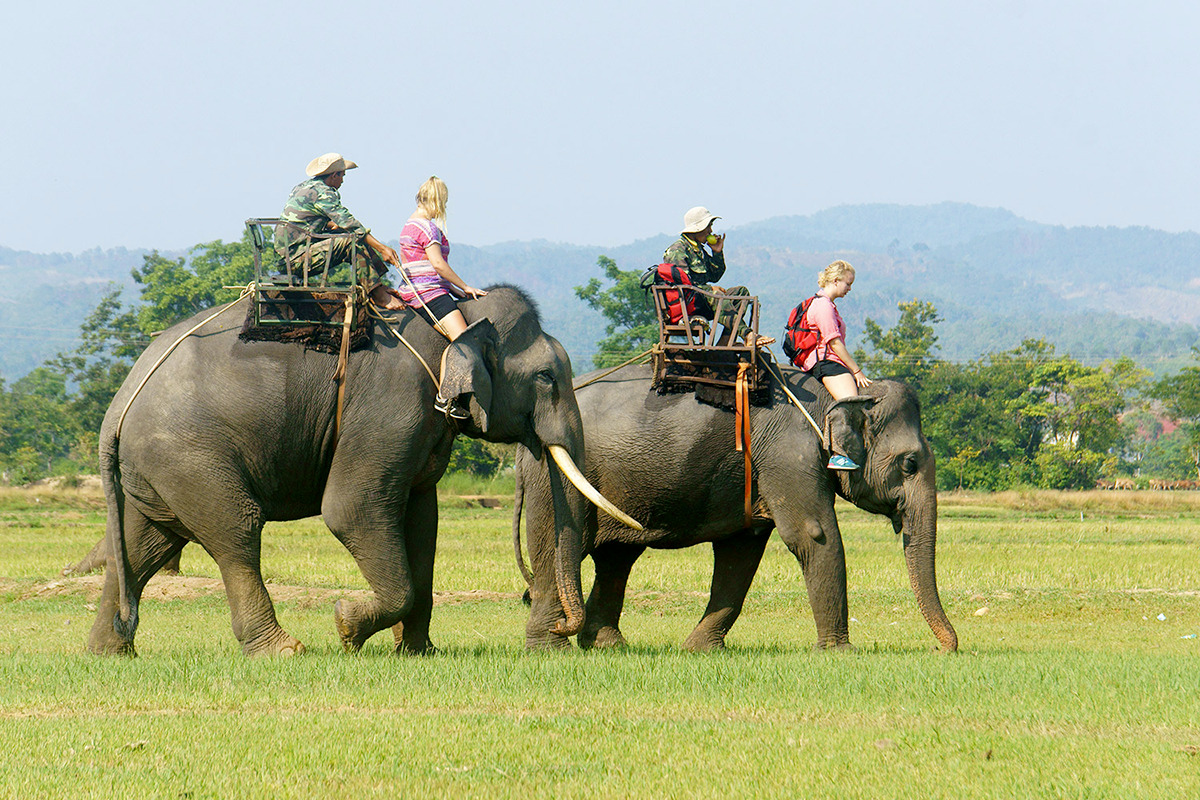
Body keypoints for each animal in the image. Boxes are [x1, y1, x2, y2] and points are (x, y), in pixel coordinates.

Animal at [87, 286, 638, 657]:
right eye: (546, 377)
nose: (561, 631)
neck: (452, 323)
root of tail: (119, 403)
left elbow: (422, 521)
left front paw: (418, 652)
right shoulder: (391, 405)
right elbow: (351, 510)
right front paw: (346, 625)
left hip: (158, 469)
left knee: (144, 543)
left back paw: (111, 651)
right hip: (190, 452)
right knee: (235, 532)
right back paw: (285, 650)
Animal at [513, 359, 955, 652]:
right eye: (909, 463)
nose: (944, 648)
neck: (830, 398)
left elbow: (740, 553)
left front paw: (700, 650)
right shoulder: (788, 453)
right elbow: (813, 535)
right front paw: (839, 653)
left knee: (617, 557)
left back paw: (609, 646)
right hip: (553, 477)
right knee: (558, 549)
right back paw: (551, 646)